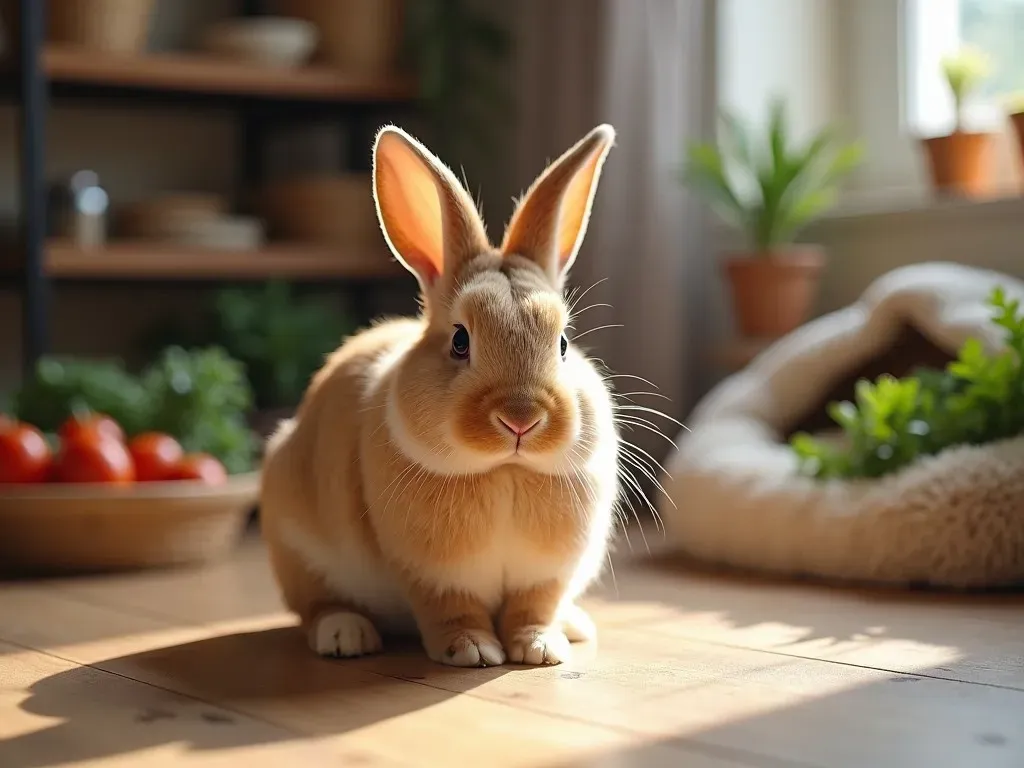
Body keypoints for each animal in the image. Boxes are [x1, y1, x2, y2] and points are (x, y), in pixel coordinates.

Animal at [260, 121, 618, 667]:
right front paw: (473, 651)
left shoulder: (545, 575)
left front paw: (540, 649)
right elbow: (453, 609)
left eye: (562, 343)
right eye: (460, 341)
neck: (505, 472)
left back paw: (574, 626)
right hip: (297, 546)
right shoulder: (432, 574)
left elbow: (534, 607)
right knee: (315, 607)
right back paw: (346, 636)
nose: (521, 419)